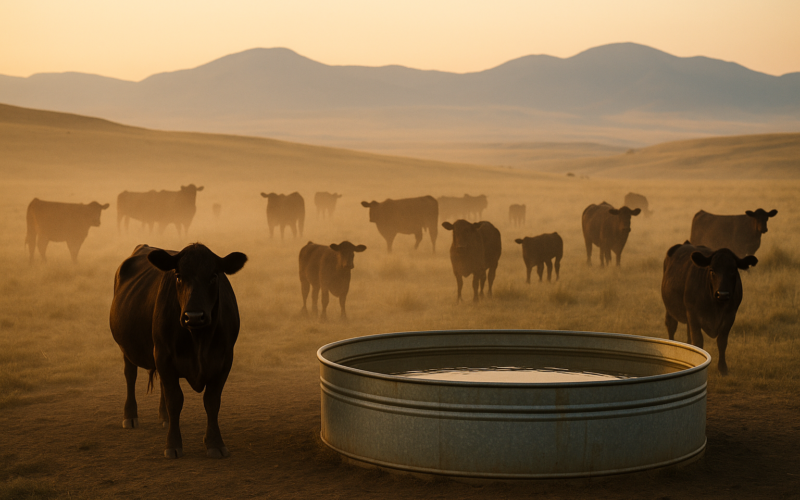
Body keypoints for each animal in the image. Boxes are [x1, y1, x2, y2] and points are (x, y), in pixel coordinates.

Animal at [109, 243, 247, 459]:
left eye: (213, 276)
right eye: (179, 276)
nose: (194, 316)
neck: (199, 339)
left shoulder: (224, 360)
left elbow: (212, 401)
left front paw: (214, 443)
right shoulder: (164, 357)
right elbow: (175, 400)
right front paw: (173, 444)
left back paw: (164, 417)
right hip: (127, 348)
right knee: (130, 375)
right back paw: (130, 416)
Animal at [661, 241, 757, 375]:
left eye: (733, 270)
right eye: (712, 270)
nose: (722, 294)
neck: (716, 306)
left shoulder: (730, 316)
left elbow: (722, 342)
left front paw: (723, 368)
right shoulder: (693, 315)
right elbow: (698, 341)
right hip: (670, 309)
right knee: (671, 327)